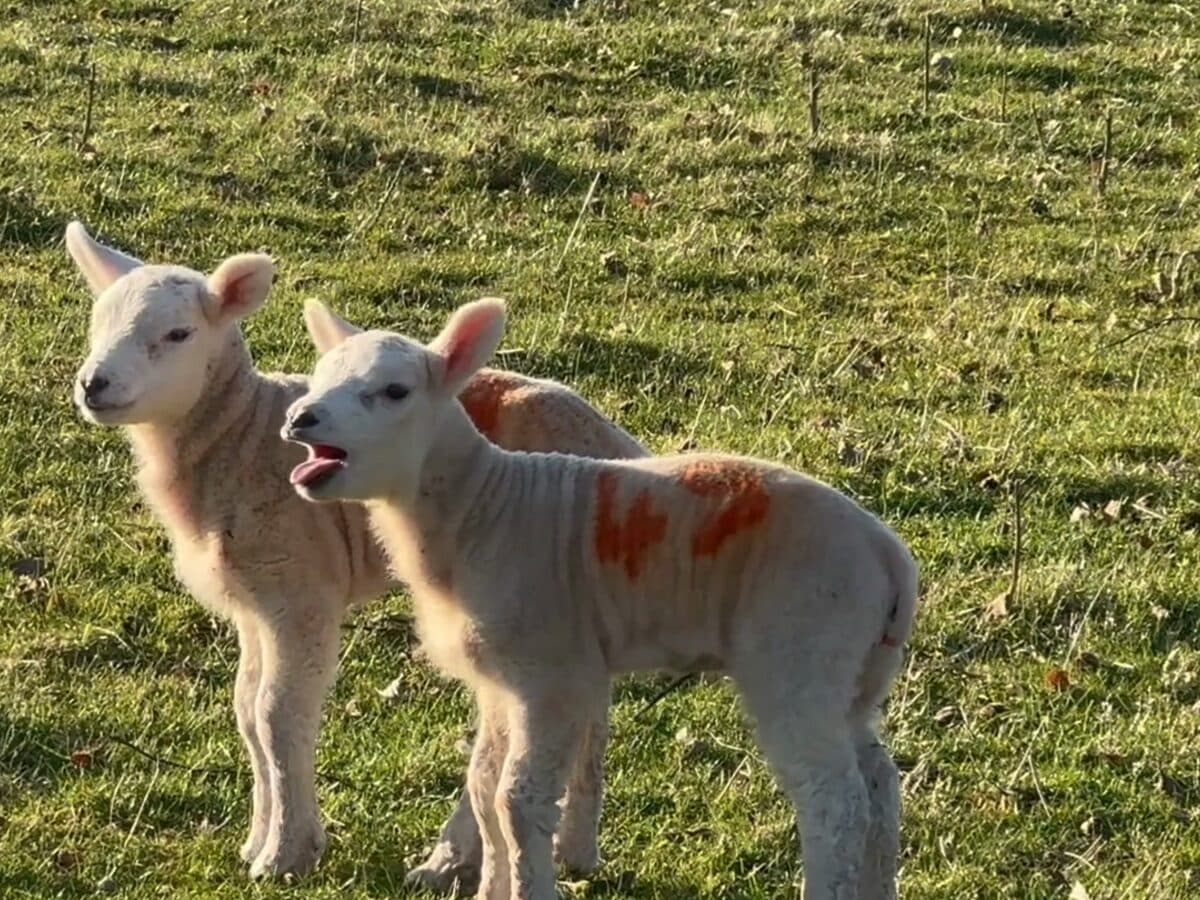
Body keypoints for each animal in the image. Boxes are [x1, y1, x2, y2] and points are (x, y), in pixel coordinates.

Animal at [65, 222, 647, 885]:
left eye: (178, 334)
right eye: (97, 321)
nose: (93, 384)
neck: (240, 440)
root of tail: (620, 444)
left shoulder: (300, 590)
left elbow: (276, 716)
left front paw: (286, 855)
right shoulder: (255, 599)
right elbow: (246, 711)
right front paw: (261, 841)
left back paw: (476, 855)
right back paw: (556, 850)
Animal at [284, 298, 919, 900]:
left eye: (395, 391)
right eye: (319, 378)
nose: (300, 418)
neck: (480, 507)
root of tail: (888, 553)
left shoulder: (551, 674)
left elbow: (518, 800)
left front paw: (533, 886)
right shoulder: (500, 679)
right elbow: (485, 787)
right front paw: (491, 886)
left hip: (801, 648)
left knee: (834, 802)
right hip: (853, 670)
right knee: (879, 786)